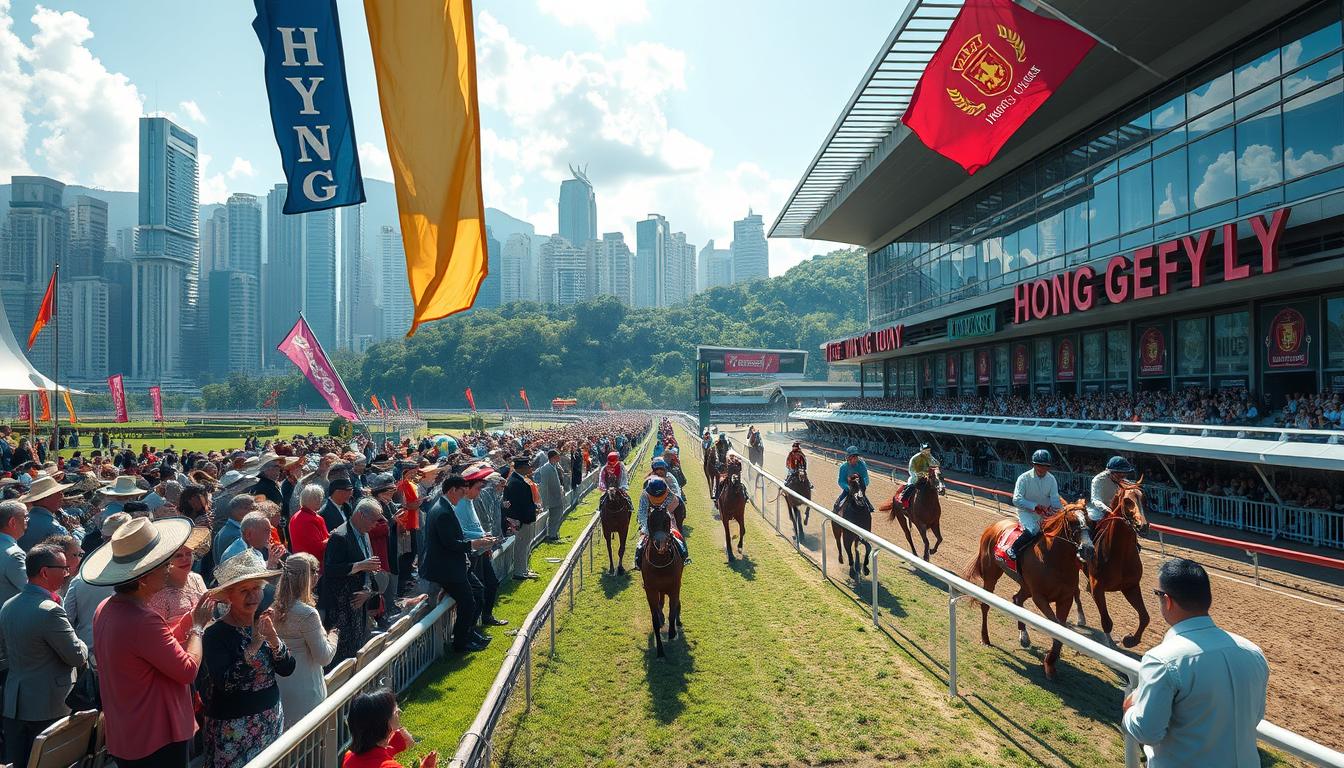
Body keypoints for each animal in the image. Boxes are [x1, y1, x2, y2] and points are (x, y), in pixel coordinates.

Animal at [639, 503, 682, 659]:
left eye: (667, 520)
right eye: (650, 520)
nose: (661, 544)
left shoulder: (674, 586)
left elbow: (672, 612)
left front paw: (672, 633)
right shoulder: (651, 590)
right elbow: (655, 620)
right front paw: (660, 650)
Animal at [973, 505, 1096, 677]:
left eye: (1090, 522)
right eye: (1072, 521)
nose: (1088, 549)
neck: (1055, 560)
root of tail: (993, 526)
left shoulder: (1065, 599)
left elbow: (1062, 628)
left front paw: (1051, 662)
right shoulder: (1040, 597)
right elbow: (1056, 627)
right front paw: (1049, 662)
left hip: (1026, 586)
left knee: (1017, 598)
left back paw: (1024, 637)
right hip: (992, 575)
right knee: (985, 604)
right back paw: (985, 638)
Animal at [1075, 481, 1150, 648]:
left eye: (1145, 499)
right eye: (1127, 501)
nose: (1143, 525)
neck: (1120, 555)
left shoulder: (1131, 586)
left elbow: (1145, 617)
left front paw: (1131, 640)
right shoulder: (1098, 587)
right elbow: (1106, 621)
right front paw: (1110, 643)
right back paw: (1080, 618)